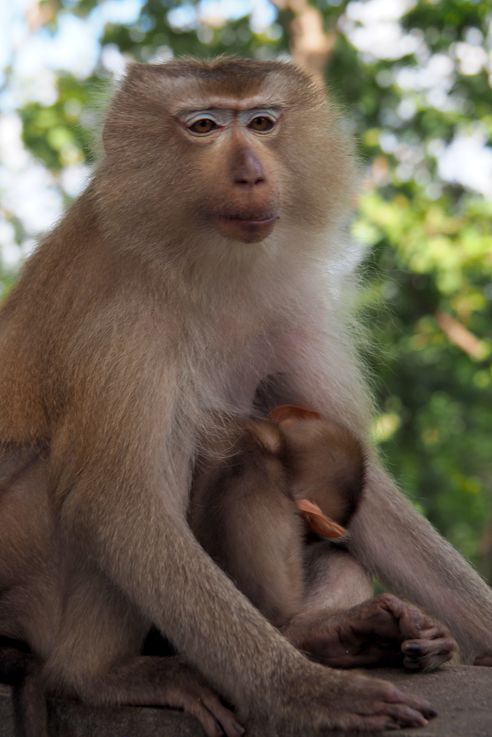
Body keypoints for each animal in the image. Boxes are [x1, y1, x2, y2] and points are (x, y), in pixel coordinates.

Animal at [0, 56, 490, 734]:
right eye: (204, 126)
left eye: (261, 122)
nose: (252, 173)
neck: (205, 261)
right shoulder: (123, 315)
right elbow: (115, 501)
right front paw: (307, 694)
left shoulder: (290, 305)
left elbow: (353, 477)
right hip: (20, 557)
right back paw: (100, 673)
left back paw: (326, 634)